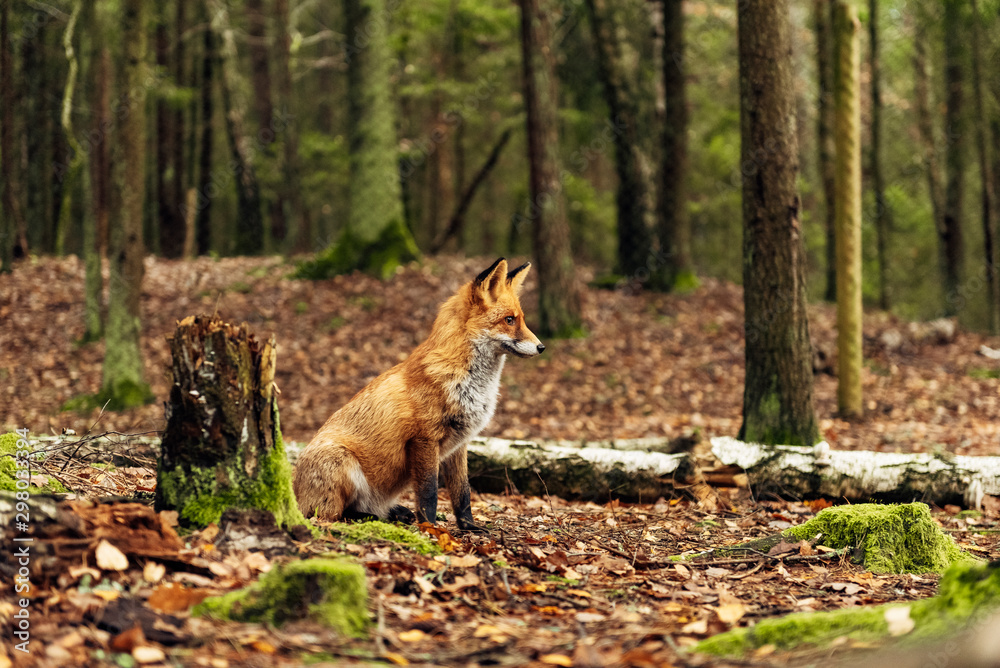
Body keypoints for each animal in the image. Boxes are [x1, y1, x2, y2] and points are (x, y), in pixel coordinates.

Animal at [293, 258, 545, 532]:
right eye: (509, 320)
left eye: (521, 320)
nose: (542, 347)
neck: (471, 385)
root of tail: (294, 493)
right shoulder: (424, 439)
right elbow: (429, 493)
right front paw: (430, 528)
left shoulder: (460, 444)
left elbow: (462, 492)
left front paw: (469, 526)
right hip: (341, 462)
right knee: (330, 515)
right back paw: (369, 518)